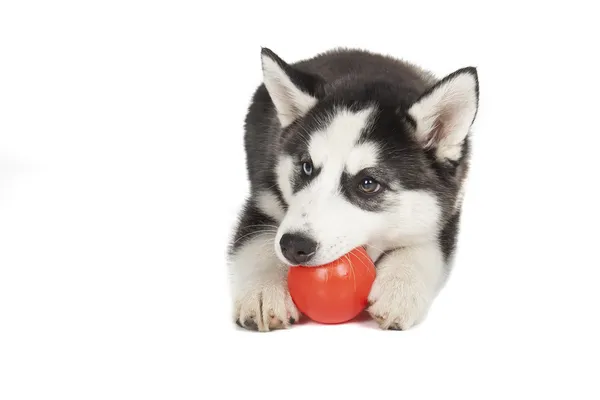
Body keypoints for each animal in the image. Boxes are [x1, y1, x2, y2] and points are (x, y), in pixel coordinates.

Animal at [227, 47, 480, 332]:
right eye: (306, 167)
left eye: (368, 184)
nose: (293, 246)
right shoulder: (263, 197)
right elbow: (257, 241)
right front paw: (263, 292)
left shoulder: (448, 208)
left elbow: (426, 246)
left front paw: (399, 288)